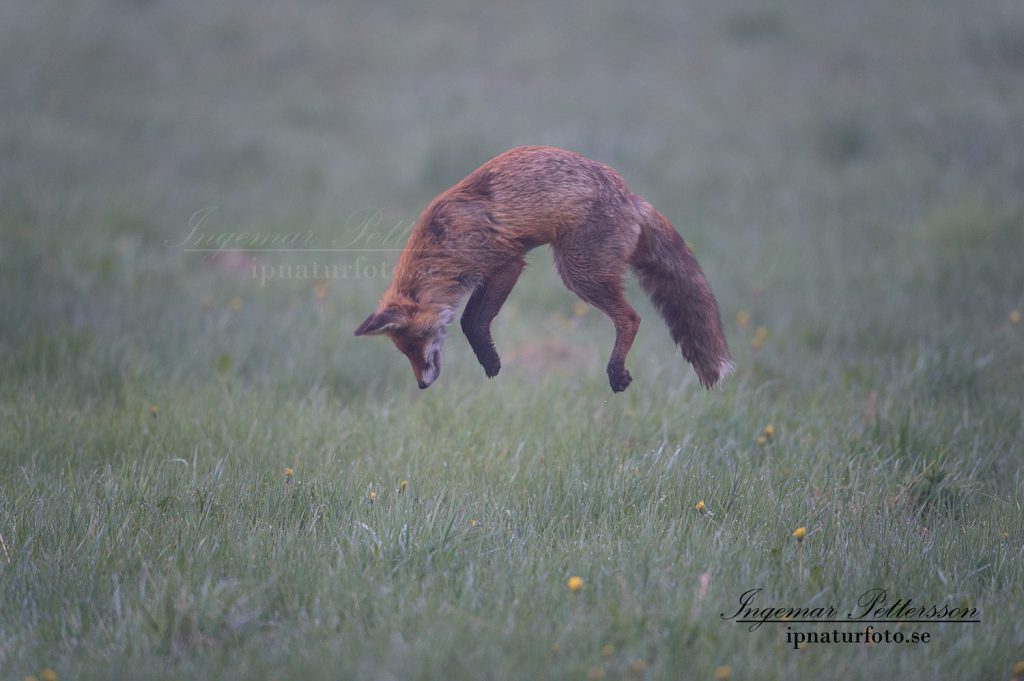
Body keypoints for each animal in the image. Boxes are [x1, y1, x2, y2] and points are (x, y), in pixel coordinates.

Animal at [356, 147, 733, 393]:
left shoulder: (507, 263)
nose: (421, 385)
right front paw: (490, 360)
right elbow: (468, 319)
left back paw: (616, 372)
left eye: (416, 343)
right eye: (404, 350)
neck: (441, 242)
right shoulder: (489, 273)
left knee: (630, 318)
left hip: (576, 271)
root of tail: (630, 197)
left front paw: (490, 362)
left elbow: (472, 320)